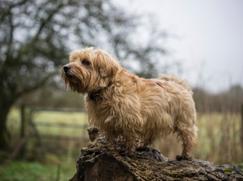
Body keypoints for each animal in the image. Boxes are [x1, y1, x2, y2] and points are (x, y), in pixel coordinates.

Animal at [62, 47, 197, 159]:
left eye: (86, 62)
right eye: (72, 59)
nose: (65, 67)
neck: (107, 87)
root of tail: (180, 85)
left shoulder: (130, 119)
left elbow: (129, 136)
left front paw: (127, 151)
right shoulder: (107, 121)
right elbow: (111, 136)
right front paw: (110, 148)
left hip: (184, 121)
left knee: (189, 138)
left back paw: (185, 155)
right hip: (155, 120)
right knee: (150, 136)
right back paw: (142, 146)